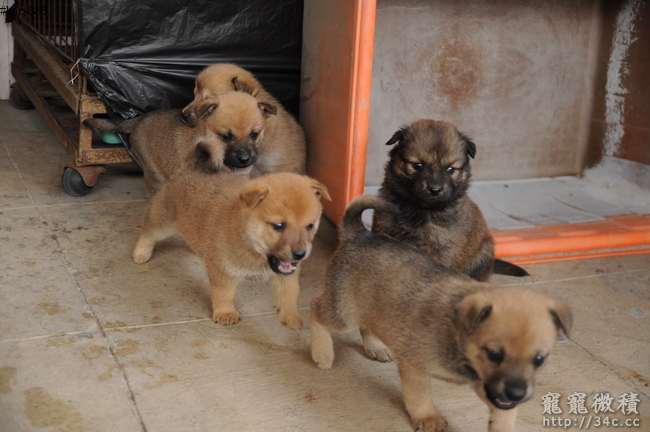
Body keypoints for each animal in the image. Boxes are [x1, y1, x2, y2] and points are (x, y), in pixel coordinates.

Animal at [132, 169, 330, 328]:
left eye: (310, 226)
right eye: (279, 226)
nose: (300, 254)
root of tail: (192, 168)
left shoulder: (285, 275)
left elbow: (290, 295)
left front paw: (291, 317)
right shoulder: (223, 271)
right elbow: (224, 294)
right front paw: (225, 313)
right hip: (163, 222)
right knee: (148, 230)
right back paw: (140, 253)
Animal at [312, 195, 568, 432]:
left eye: (539, 360)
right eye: (494, 354)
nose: (516, 394)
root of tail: (360, 234)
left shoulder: (488, 386)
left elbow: (503, 415)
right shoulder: (415, 367)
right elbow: (419, 395)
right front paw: (427, 418)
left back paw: (375, 347)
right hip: (343, 314)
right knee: (314, 309)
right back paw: (322, 353)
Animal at [370, 119, 528, 280]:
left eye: (450, 169)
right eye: (418, 165)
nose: (435, 190)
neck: (420, 207)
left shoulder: (443, 246)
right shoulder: (383, 229)